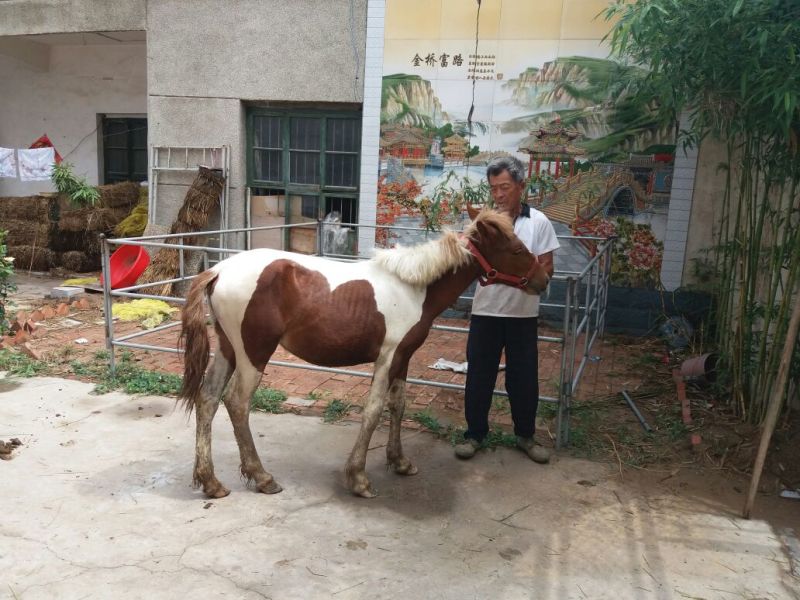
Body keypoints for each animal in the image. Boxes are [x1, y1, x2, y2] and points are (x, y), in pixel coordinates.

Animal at [179, 209, 550, 499]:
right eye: (517, 248)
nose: (544, 279)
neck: (415, 288)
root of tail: (218, 271)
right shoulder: (387, 358)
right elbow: (373, 411)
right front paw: (358, 478)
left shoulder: (404, 358)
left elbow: (398, 405)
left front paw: (399, 462)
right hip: (253, 353)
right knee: (237, 402)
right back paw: (262, 477)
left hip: (228, 349)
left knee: (208, 399)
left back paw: (211, 482)